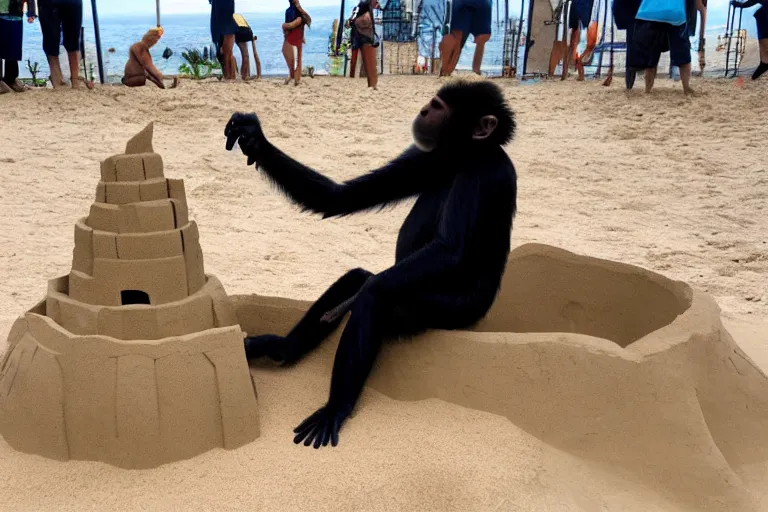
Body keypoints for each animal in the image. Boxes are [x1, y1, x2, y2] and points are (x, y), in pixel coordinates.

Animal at [225, 79, 520, 448]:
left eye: (438, 108)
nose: (424, 110)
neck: (463, 154)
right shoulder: (426, 156)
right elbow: (339, 198)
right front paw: (254, 137)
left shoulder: (482, 172)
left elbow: (447, 251)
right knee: (357, 276)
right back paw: (281, 349)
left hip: (451, 310)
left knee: (377, 296)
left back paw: (336, 406)